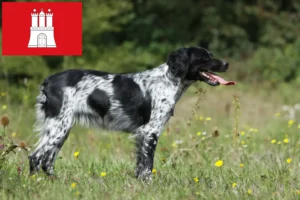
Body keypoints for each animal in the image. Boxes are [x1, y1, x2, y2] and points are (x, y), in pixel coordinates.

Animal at [28, 47, 234, 180]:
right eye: (205, 58)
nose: (226, 63)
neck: (168, 80)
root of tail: (48, 81)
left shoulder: (142, 134)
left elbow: (140, 165)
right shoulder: (150, 131)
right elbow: (147, 166)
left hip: (62, 128)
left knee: (47, 161)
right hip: (59, 127)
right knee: (36, 157)